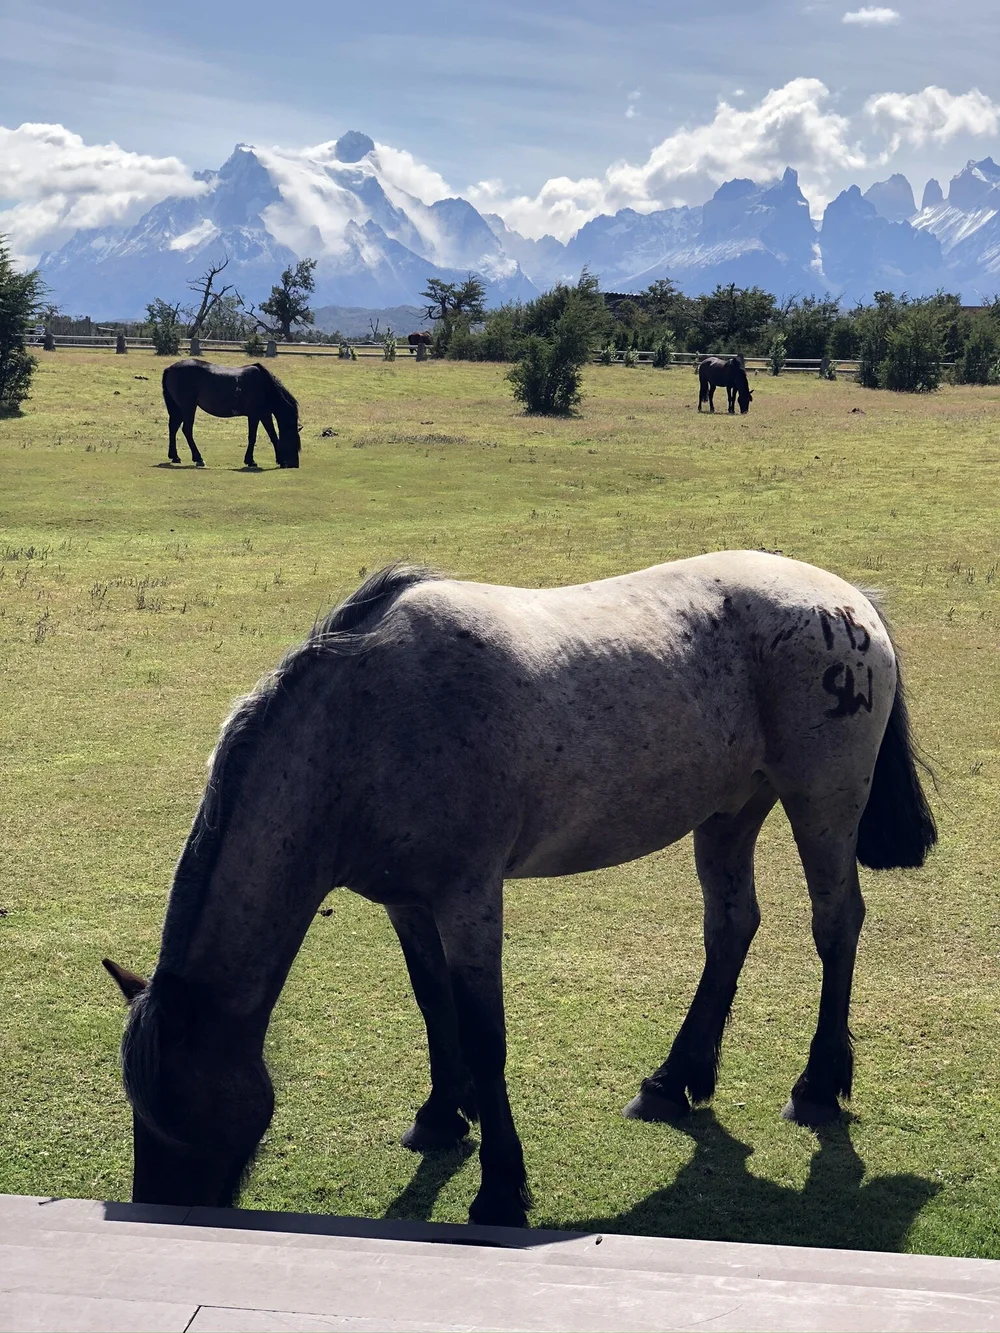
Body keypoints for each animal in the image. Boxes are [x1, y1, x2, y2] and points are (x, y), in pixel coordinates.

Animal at [104, 552, 936, 1227]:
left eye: (179, 1109)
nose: (158, 1210)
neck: (361, 723)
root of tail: (847, 599)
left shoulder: (469, 898)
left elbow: (485, 1031)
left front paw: (500, 1186)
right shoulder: (408, 902)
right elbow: (433, 1003)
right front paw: (442, 1114)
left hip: (820, 802)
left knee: (836, 923)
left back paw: (817, 1084)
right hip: (730, 810)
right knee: (732, 926)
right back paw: (673, 1081)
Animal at [161, 360, 301, 469]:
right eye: (293, 440)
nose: (294, 464)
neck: (265, 385)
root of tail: (170, 368)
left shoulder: (265, 415)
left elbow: (273, 436)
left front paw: (279, 460)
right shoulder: (254, 415)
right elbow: (252, 437)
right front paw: (251, 461)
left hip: (178, 408)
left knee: (173, 428)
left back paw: (175, 457)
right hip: (188, 407)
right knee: (187, 430)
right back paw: (198, 459)